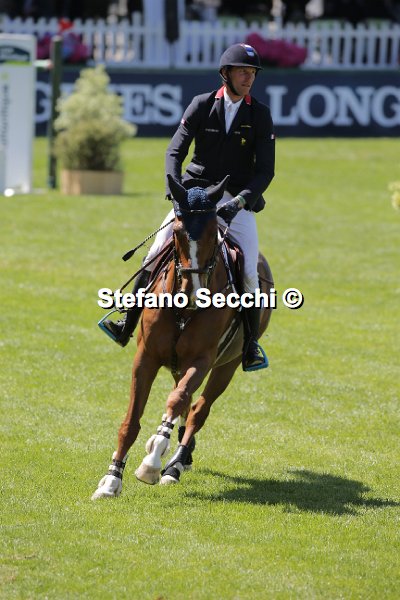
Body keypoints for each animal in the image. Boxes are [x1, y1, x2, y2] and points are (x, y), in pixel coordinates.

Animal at [92, 175, 274, 499]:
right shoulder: (146, 357)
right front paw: (111, 480)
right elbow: (131, 422)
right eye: (177, 231)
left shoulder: (201, 360)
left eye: (214, 234)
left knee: (197, 409)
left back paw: (174, 463)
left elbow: (178, 401)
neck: (182, 309)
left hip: (227, 365)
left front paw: (151, 463)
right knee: (187, 403)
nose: (192, 291)